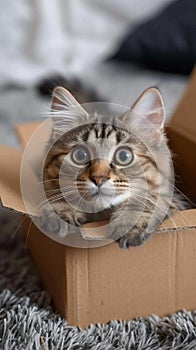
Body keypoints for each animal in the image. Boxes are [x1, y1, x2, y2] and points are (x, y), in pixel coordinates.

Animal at [40, 86, 184, 247]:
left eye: (124, 156)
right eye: (81, 155)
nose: (98, 178)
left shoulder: (172, 200)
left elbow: (146, 198)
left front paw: (129, 222)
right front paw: (61, 210)